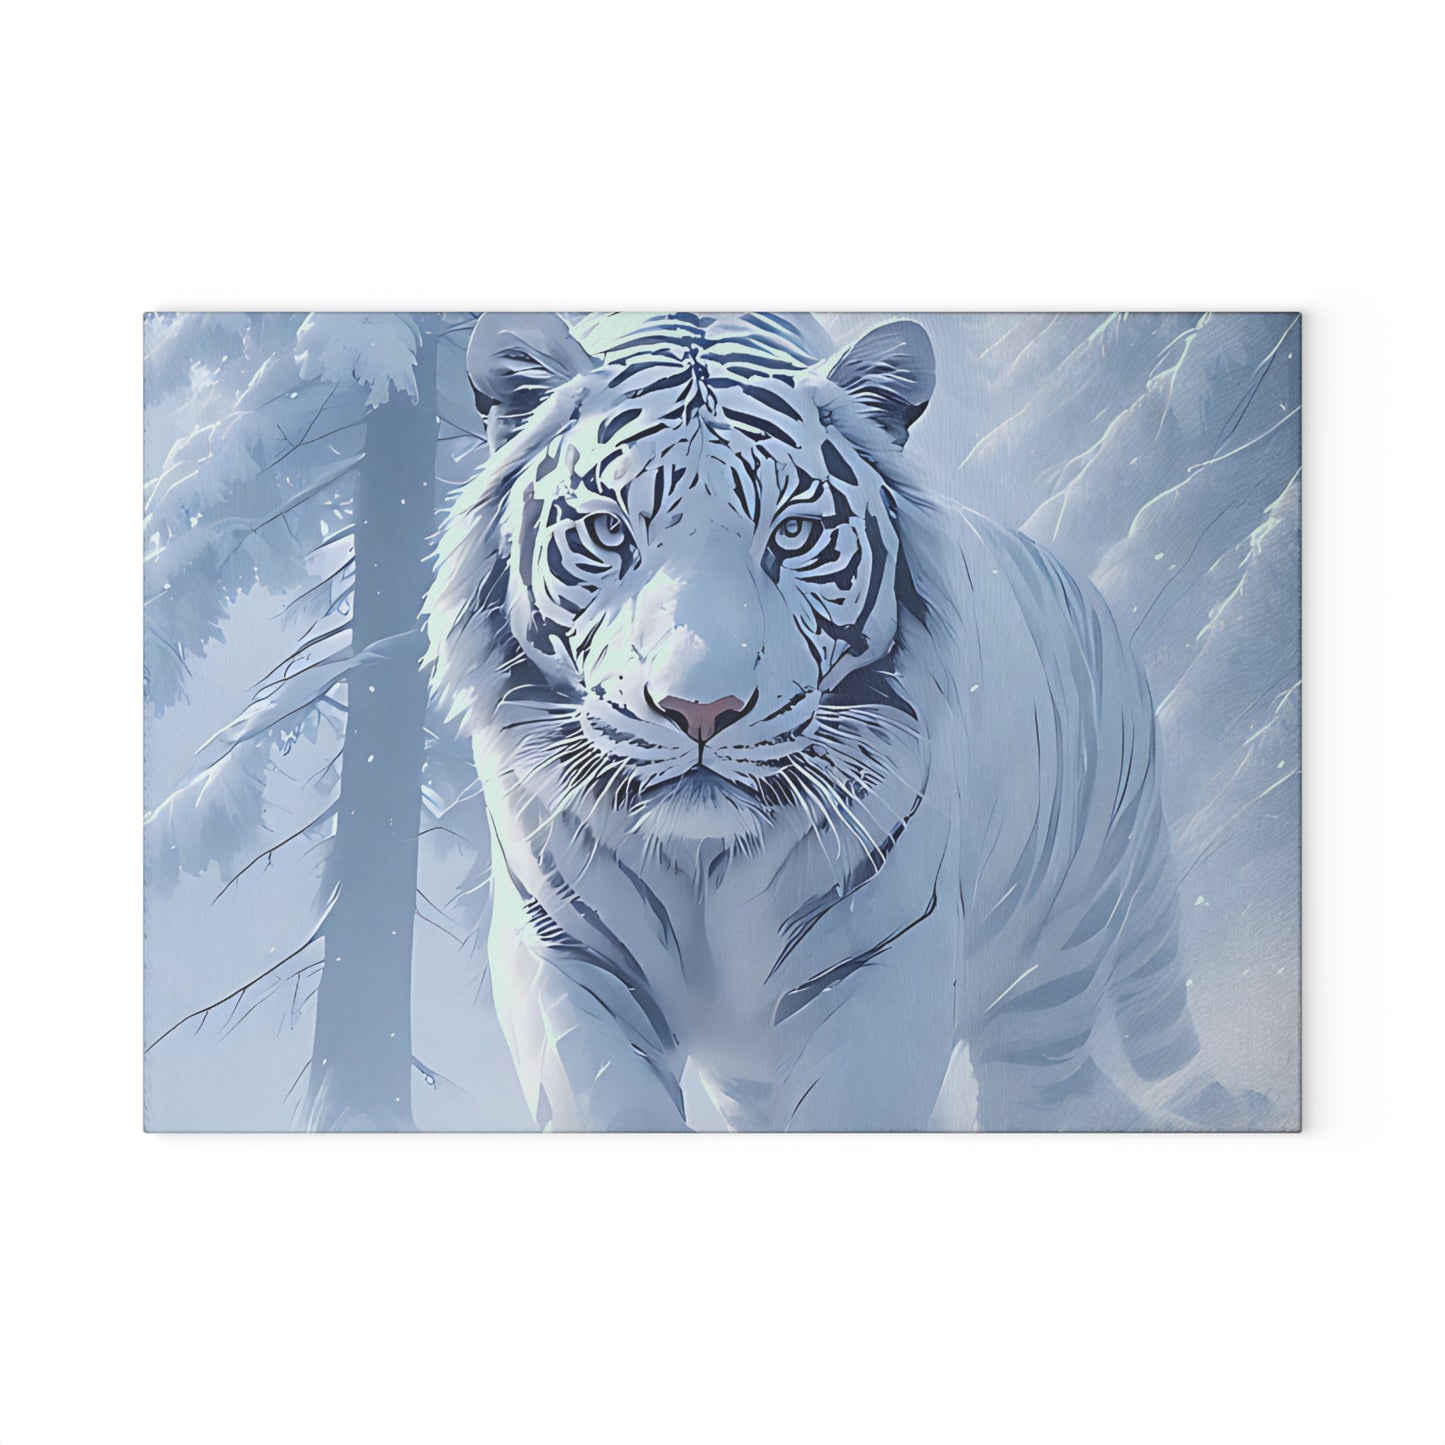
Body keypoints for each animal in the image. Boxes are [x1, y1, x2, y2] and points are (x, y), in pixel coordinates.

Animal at [424, 311, 1215, 1131]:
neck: (703, 863)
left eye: (794, 534)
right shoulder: (567, 953)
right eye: (610, 532)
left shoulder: (880, 958)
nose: (699, 709)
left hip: (1052, 976)